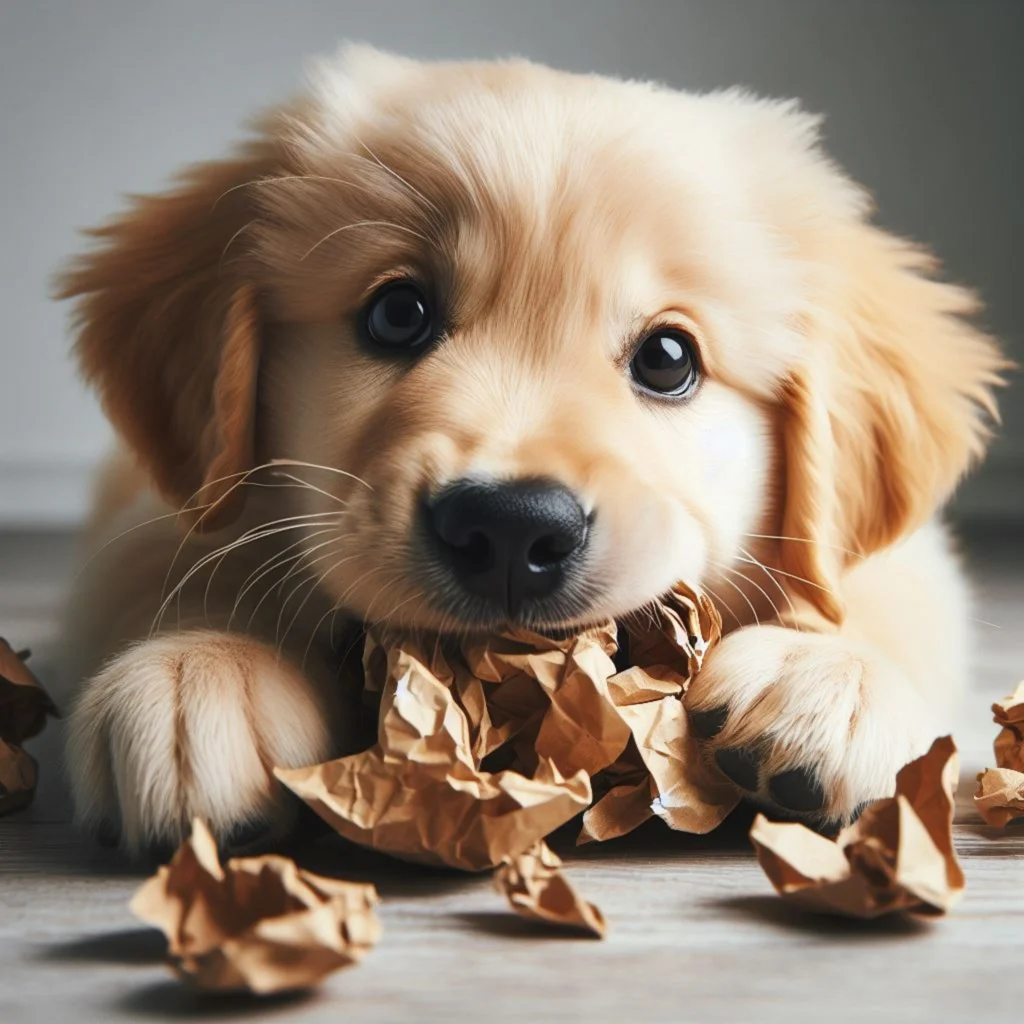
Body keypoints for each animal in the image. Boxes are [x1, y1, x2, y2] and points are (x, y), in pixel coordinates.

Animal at [54, 51, 999, 860]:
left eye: (669, 358)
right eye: (397, 313)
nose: (508, 528)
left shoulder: (897, 556)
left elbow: (873, 595)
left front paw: (826, 679)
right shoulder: (163, 503)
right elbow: (177, 567)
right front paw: (199, 679)